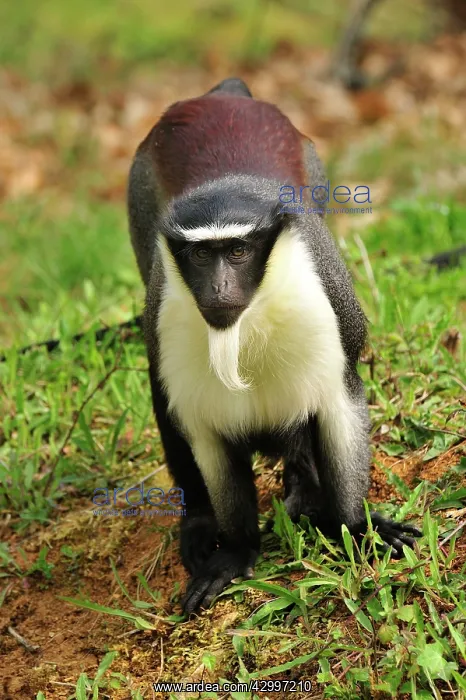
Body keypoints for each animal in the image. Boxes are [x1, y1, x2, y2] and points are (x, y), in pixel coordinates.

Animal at [127, 77, 421, 614]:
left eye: (238, 252)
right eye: (200, 256)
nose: (219, 288)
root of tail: (222, 94)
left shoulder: (327, 311)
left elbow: (339, 403)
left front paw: (356, 528)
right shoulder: (168, 315)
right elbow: (205, 435)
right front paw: (235, 551)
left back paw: (303, 488)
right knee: (162, 394)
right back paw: (200, 523)